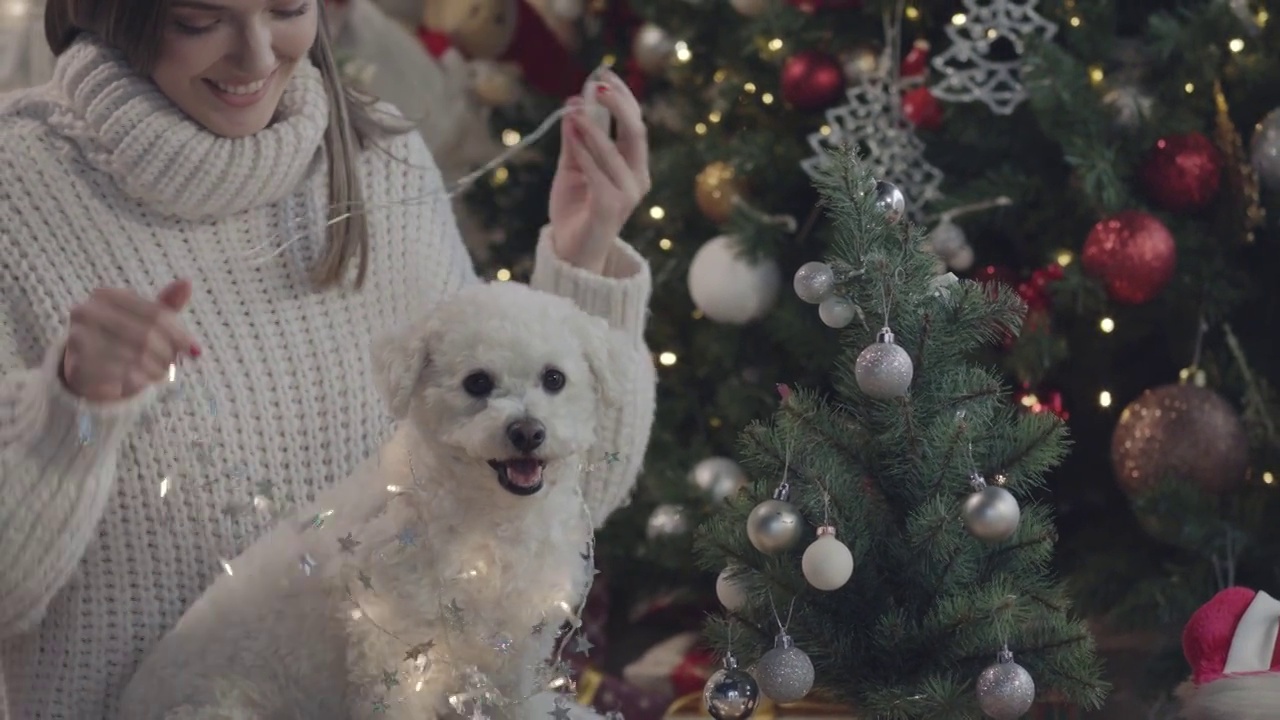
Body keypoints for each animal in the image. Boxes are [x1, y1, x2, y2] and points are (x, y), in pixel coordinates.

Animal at [119, 280, 640, 717]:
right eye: (477, 382)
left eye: (554, 379)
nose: (528, 432)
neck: (490, 528)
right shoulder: (395, 659)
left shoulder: (517, 656)